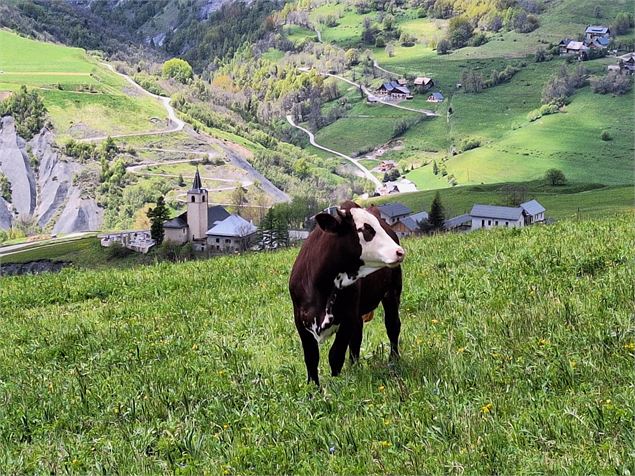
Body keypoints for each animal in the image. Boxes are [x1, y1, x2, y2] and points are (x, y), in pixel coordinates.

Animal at [286, 199, 402, 384]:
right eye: (366, 229)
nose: (399, 251)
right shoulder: (300, 320)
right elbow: (311, 358)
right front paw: (313, 387)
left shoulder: (348, 317)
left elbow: (335, 355)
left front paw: (338, 384)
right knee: (357, 338)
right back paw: (355, 367)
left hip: (392, 292)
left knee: (392, 326)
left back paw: (393, 360)